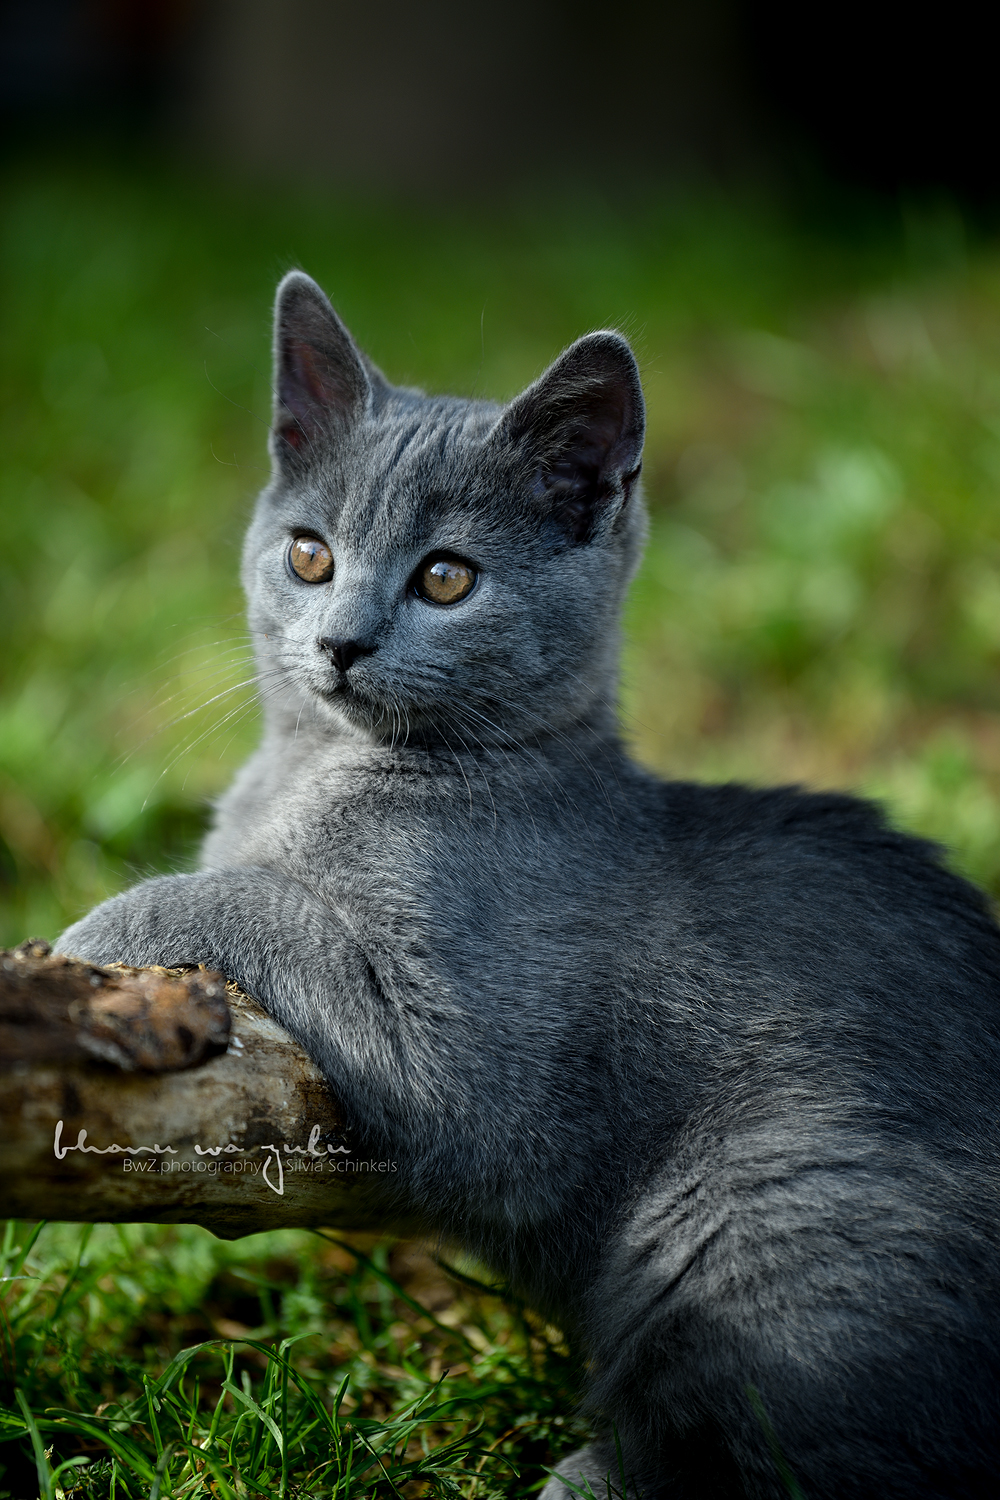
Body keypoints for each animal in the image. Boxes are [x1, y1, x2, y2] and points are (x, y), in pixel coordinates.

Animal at [58, 273, 1000, 1500]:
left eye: (446, 577)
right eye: (309, 556)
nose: (341, 642)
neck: (315, 773)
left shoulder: (468, 1064)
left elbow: (260, 900)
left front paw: (83, 938)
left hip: (760, 1207)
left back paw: (590, 1474)